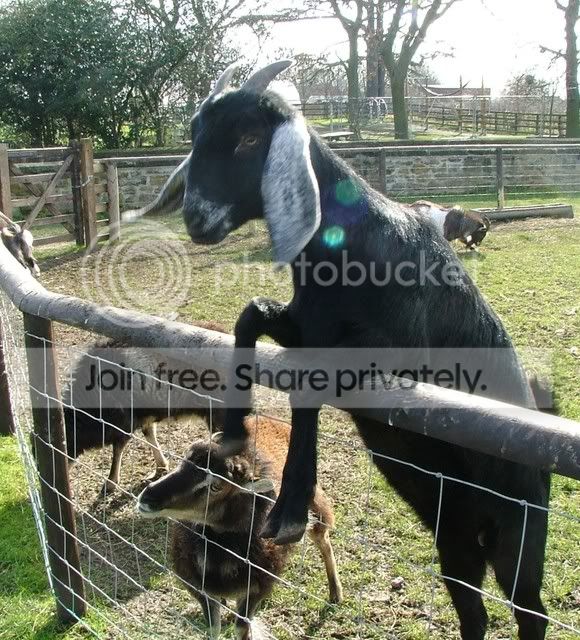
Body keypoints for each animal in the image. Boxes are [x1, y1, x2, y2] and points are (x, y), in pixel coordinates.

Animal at [63, 321, 226, 495]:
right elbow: (149, 434)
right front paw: (160, 467)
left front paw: (110, 483)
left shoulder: (124, 422)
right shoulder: (143, 416)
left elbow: (118, 449)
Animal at [136, 418, 343, 639]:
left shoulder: (256, 587)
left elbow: (242, 628)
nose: (148, 497)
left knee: (324, 539)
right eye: (185, 458)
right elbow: (213, 627)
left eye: (216, 487)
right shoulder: (198, 587)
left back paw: (336, 593)